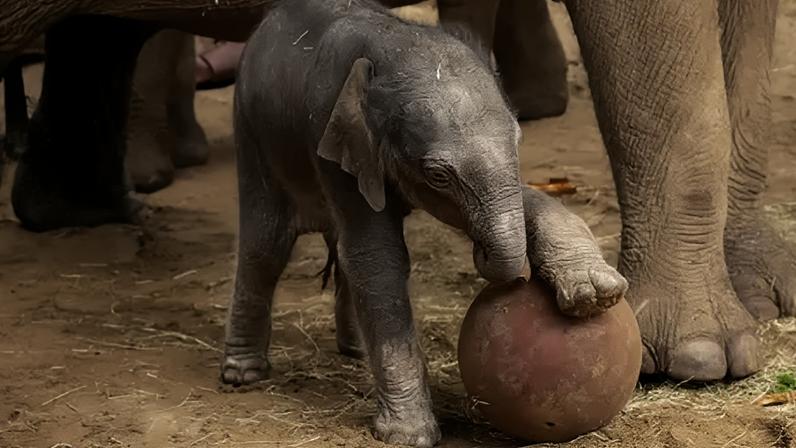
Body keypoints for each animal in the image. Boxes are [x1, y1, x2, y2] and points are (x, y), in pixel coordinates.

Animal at [223, 0, 627, 445]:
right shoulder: (328, 130)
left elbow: (521, 196)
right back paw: (242, 375)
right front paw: (409, 434)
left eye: (520, 141)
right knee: (266, 246)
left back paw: (355, 352)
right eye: (437, 175)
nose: (517, 276)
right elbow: (376, 256)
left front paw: (596, 293)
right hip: (251, 131)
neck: (393, 43)